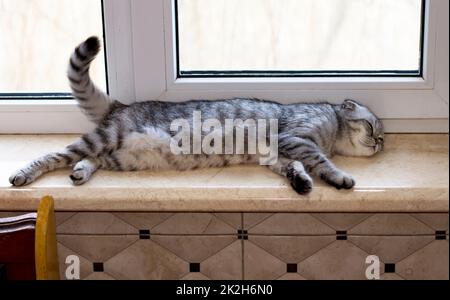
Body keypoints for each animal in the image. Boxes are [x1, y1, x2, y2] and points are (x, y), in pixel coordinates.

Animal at [8, 37, 384, 195]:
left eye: (381, 135)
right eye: (372, 128)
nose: (380, 143)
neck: (332, 126)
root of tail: (120, 105)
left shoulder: (277, 154)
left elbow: (293, 168)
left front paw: (301, 182)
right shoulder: (295, 139)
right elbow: (321, 162)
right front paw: (338, 177)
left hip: (121, 158)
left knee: (91, 160)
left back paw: (81, 173)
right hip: (104, 138)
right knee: (55, 155)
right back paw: (24, 174)